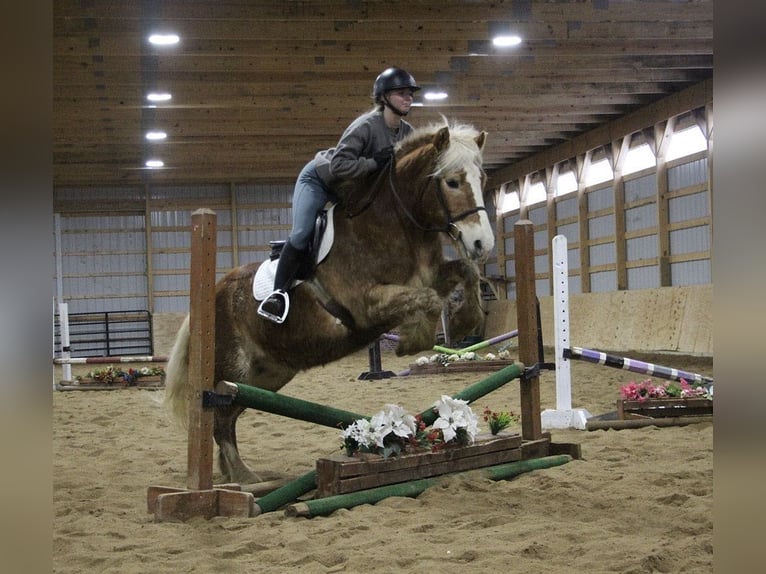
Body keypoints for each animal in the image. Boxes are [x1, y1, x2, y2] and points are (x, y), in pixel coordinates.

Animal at [165, 118, 496, 486]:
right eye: (452, 182)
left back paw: (233, 473)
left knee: (230, 414)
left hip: (267, 374)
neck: (393, 227)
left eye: (482, 180)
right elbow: (427, 299)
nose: (482, 243)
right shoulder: (365, 304)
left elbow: (462, 273)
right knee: (221, 418)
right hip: (232, 368)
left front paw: (465, 321)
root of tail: (213, 292)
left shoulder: (430, 276)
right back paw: (244, 477)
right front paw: (415, 340)